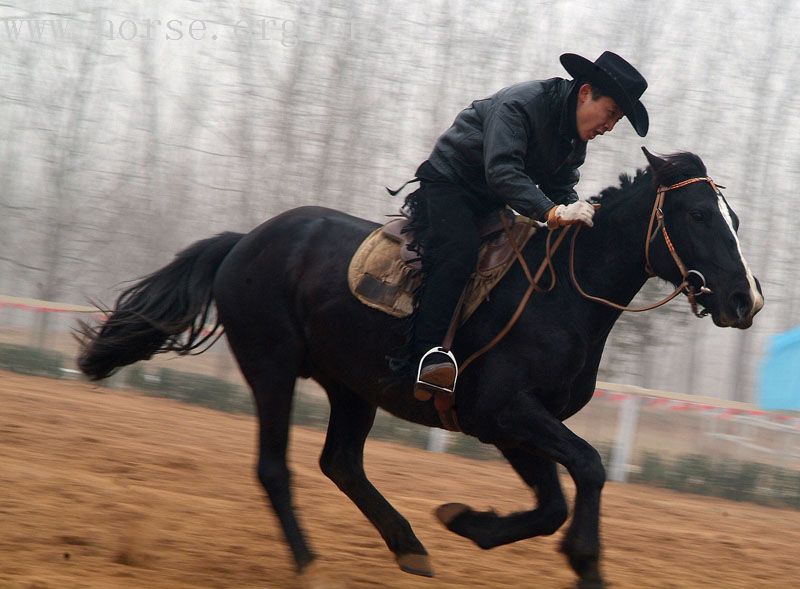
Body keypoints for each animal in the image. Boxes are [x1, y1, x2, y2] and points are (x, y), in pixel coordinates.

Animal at [76, 149, 764, 588]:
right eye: (699, 216)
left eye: (733, 219)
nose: (744, 299)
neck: (560, 294)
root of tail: (242, 241)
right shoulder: (506, 411)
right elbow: (590, 469)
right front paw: (586, 562)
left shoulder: (509, 424)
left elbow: (551, 504)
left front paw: (465, 522)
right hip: (271, 366)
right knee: (275, 468)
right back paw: (310, 564)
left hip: (352, 386)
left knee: (341, 463)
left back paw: (409, 545)